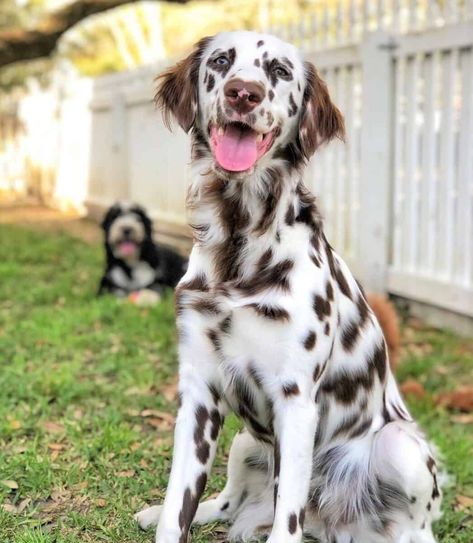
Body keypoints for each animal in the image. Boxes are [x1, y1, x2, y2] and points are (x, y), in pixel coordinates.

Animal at [135, 30, 440, 543]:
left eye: (279, 71)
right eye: (221, 62)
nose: (243, 93)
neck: (239, 243)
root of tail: (330, 523)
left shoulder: (295, 400)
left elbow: (286, 518)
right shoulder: (198, 397)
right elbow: (181, 502)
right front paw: (166, 515)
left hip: (402, 448)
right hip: (243, 442)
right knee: (225, 503)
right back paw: (159, 512)